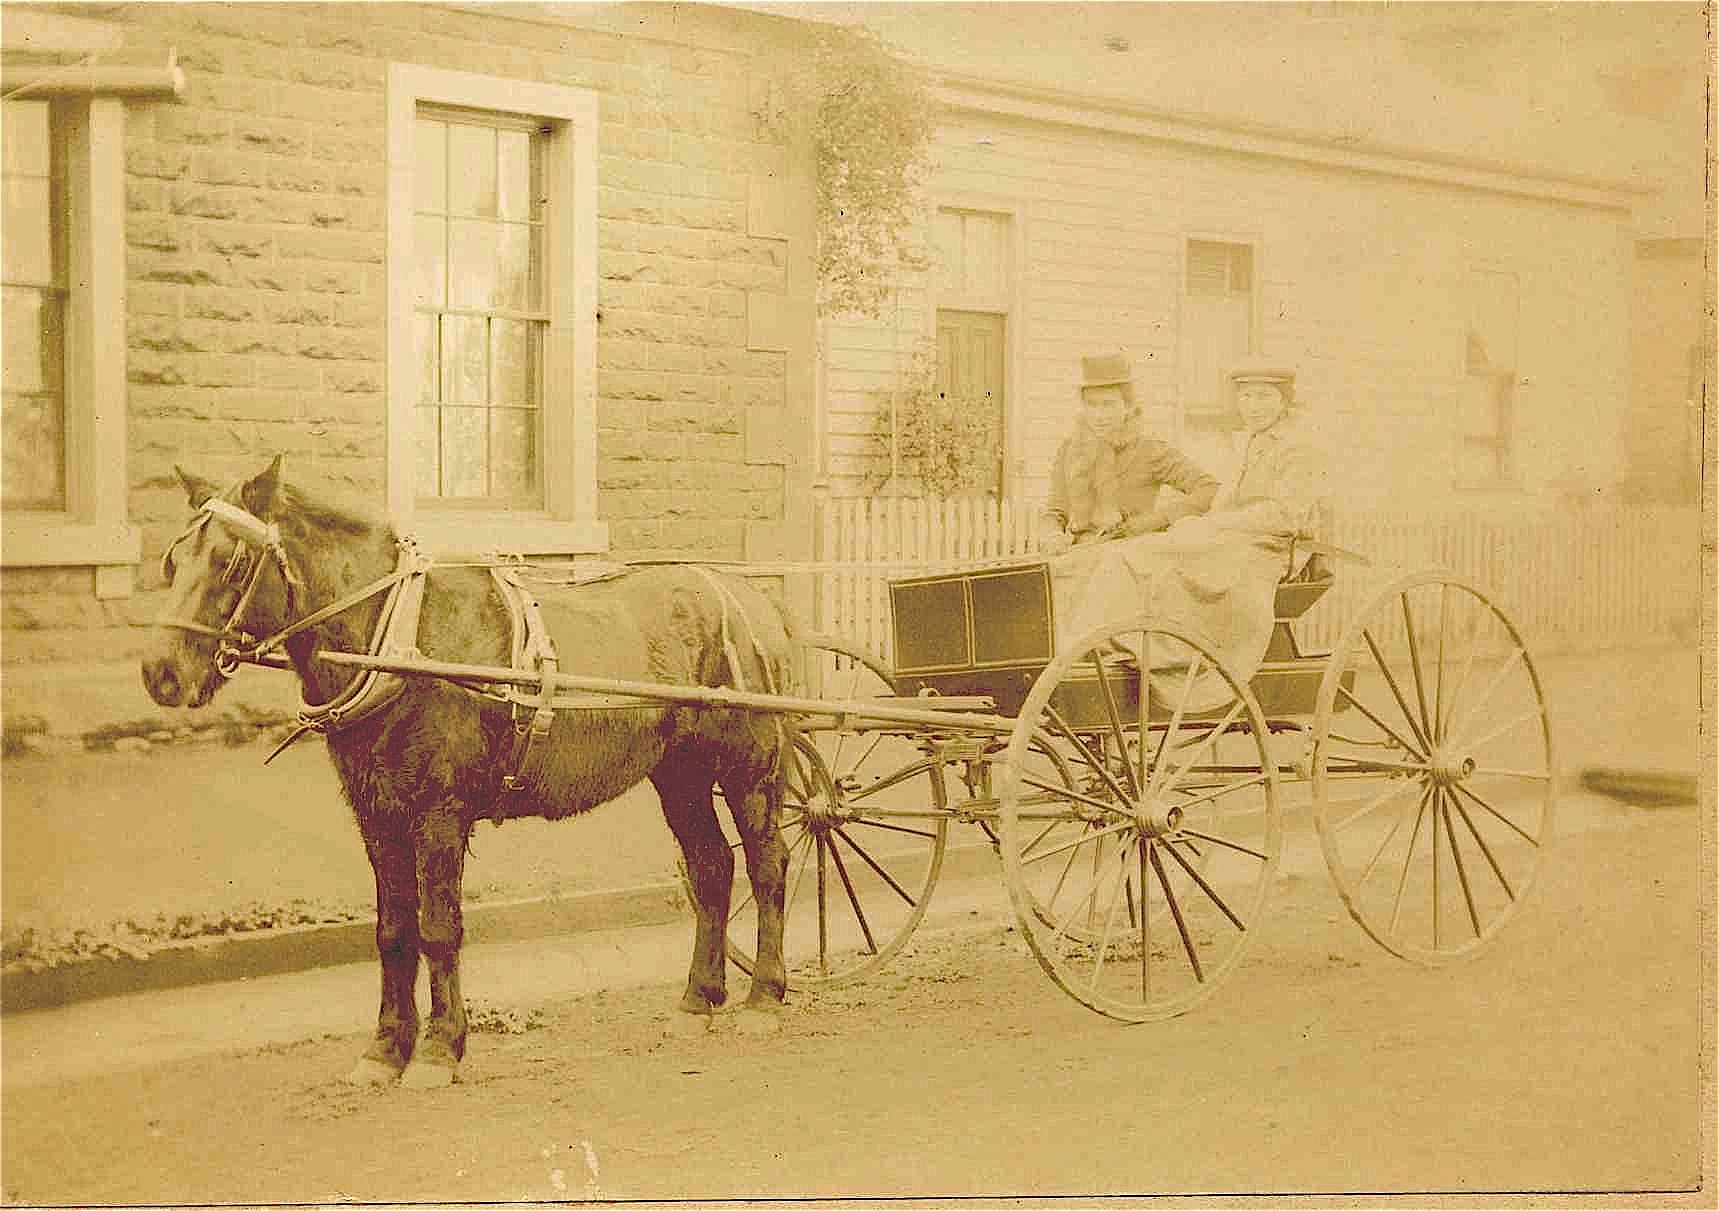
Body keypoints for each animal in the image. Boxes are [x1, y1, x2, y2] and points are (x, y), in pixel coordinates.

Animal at [144, 461, 794, 1087]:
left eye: (232, 560)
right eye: (174, 560)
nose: (160, 673)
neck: (398, 639)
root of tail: (755, 600)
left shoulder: (439, 814)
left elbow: (438, 929)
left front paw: (438, 1050)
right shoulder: (377, 815)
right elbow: (393, 932)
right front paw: (385, 1050)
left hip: (748, 768)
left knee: (767, 865)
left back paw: (765, 996)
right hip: (679, 774)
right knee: (712, 867)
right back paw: (698, 999)